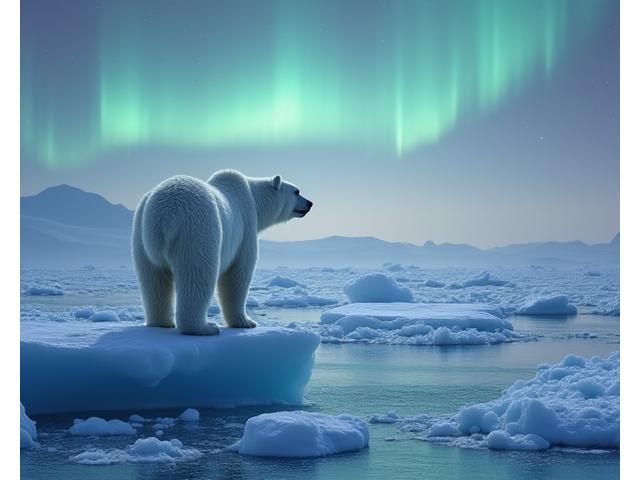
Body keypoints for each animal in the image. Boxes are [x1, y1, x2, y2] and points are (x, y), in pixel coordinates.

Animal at [132, 170, 313, 335]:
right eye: (297, 191)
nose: (310, 203)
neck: (254, 199)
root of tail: (162, 217)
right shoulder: (245, 227)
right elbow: (238, 274)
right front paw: (247, 322)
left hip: (141, 235)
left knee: (153, 280)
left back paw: (161, 323)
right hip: (197, 230)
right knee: (198, 276)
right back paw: (205, 328)